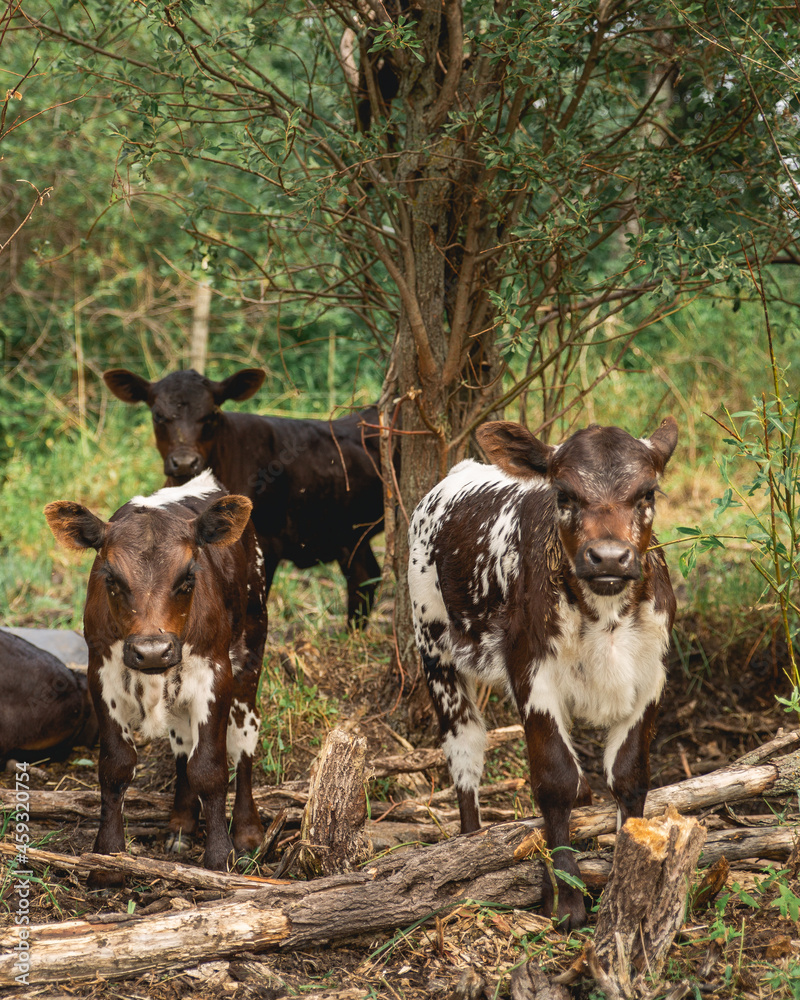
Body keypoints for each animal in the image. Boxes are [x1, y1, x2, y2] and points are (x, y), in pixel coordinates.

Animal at [44, 470, 267, 882]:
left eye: (188, 579)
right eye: (111, 579)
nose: (152, 651)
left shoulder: (215, 675)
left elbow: (210, 768)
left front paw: (220, 858)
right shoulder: (102, 674)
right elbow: (116, 766)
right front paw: (108, 859)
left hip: (251, 651)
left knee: (243, 740)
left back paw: (248, 830)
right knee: (183, 743)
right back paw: (180, 824)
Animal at [102, 367, 384, 627]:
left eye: (212, 414)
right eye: (158, 415)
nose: (184, 462)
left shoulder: (267, 545)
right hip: (351, 534)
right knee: (365, 576)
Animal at [408, 417, 678, 928]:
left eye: (647, 492)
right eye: (564, 494)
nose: (608, 557)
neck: (605, 618)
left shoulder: (651, 676)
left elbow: (629, 775)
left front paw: (621, 886)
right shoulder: (532, 676)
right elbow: (556, 779)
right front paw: (567, 898)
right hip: (434, 647)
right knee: (465, 750)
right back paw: (468, 846)